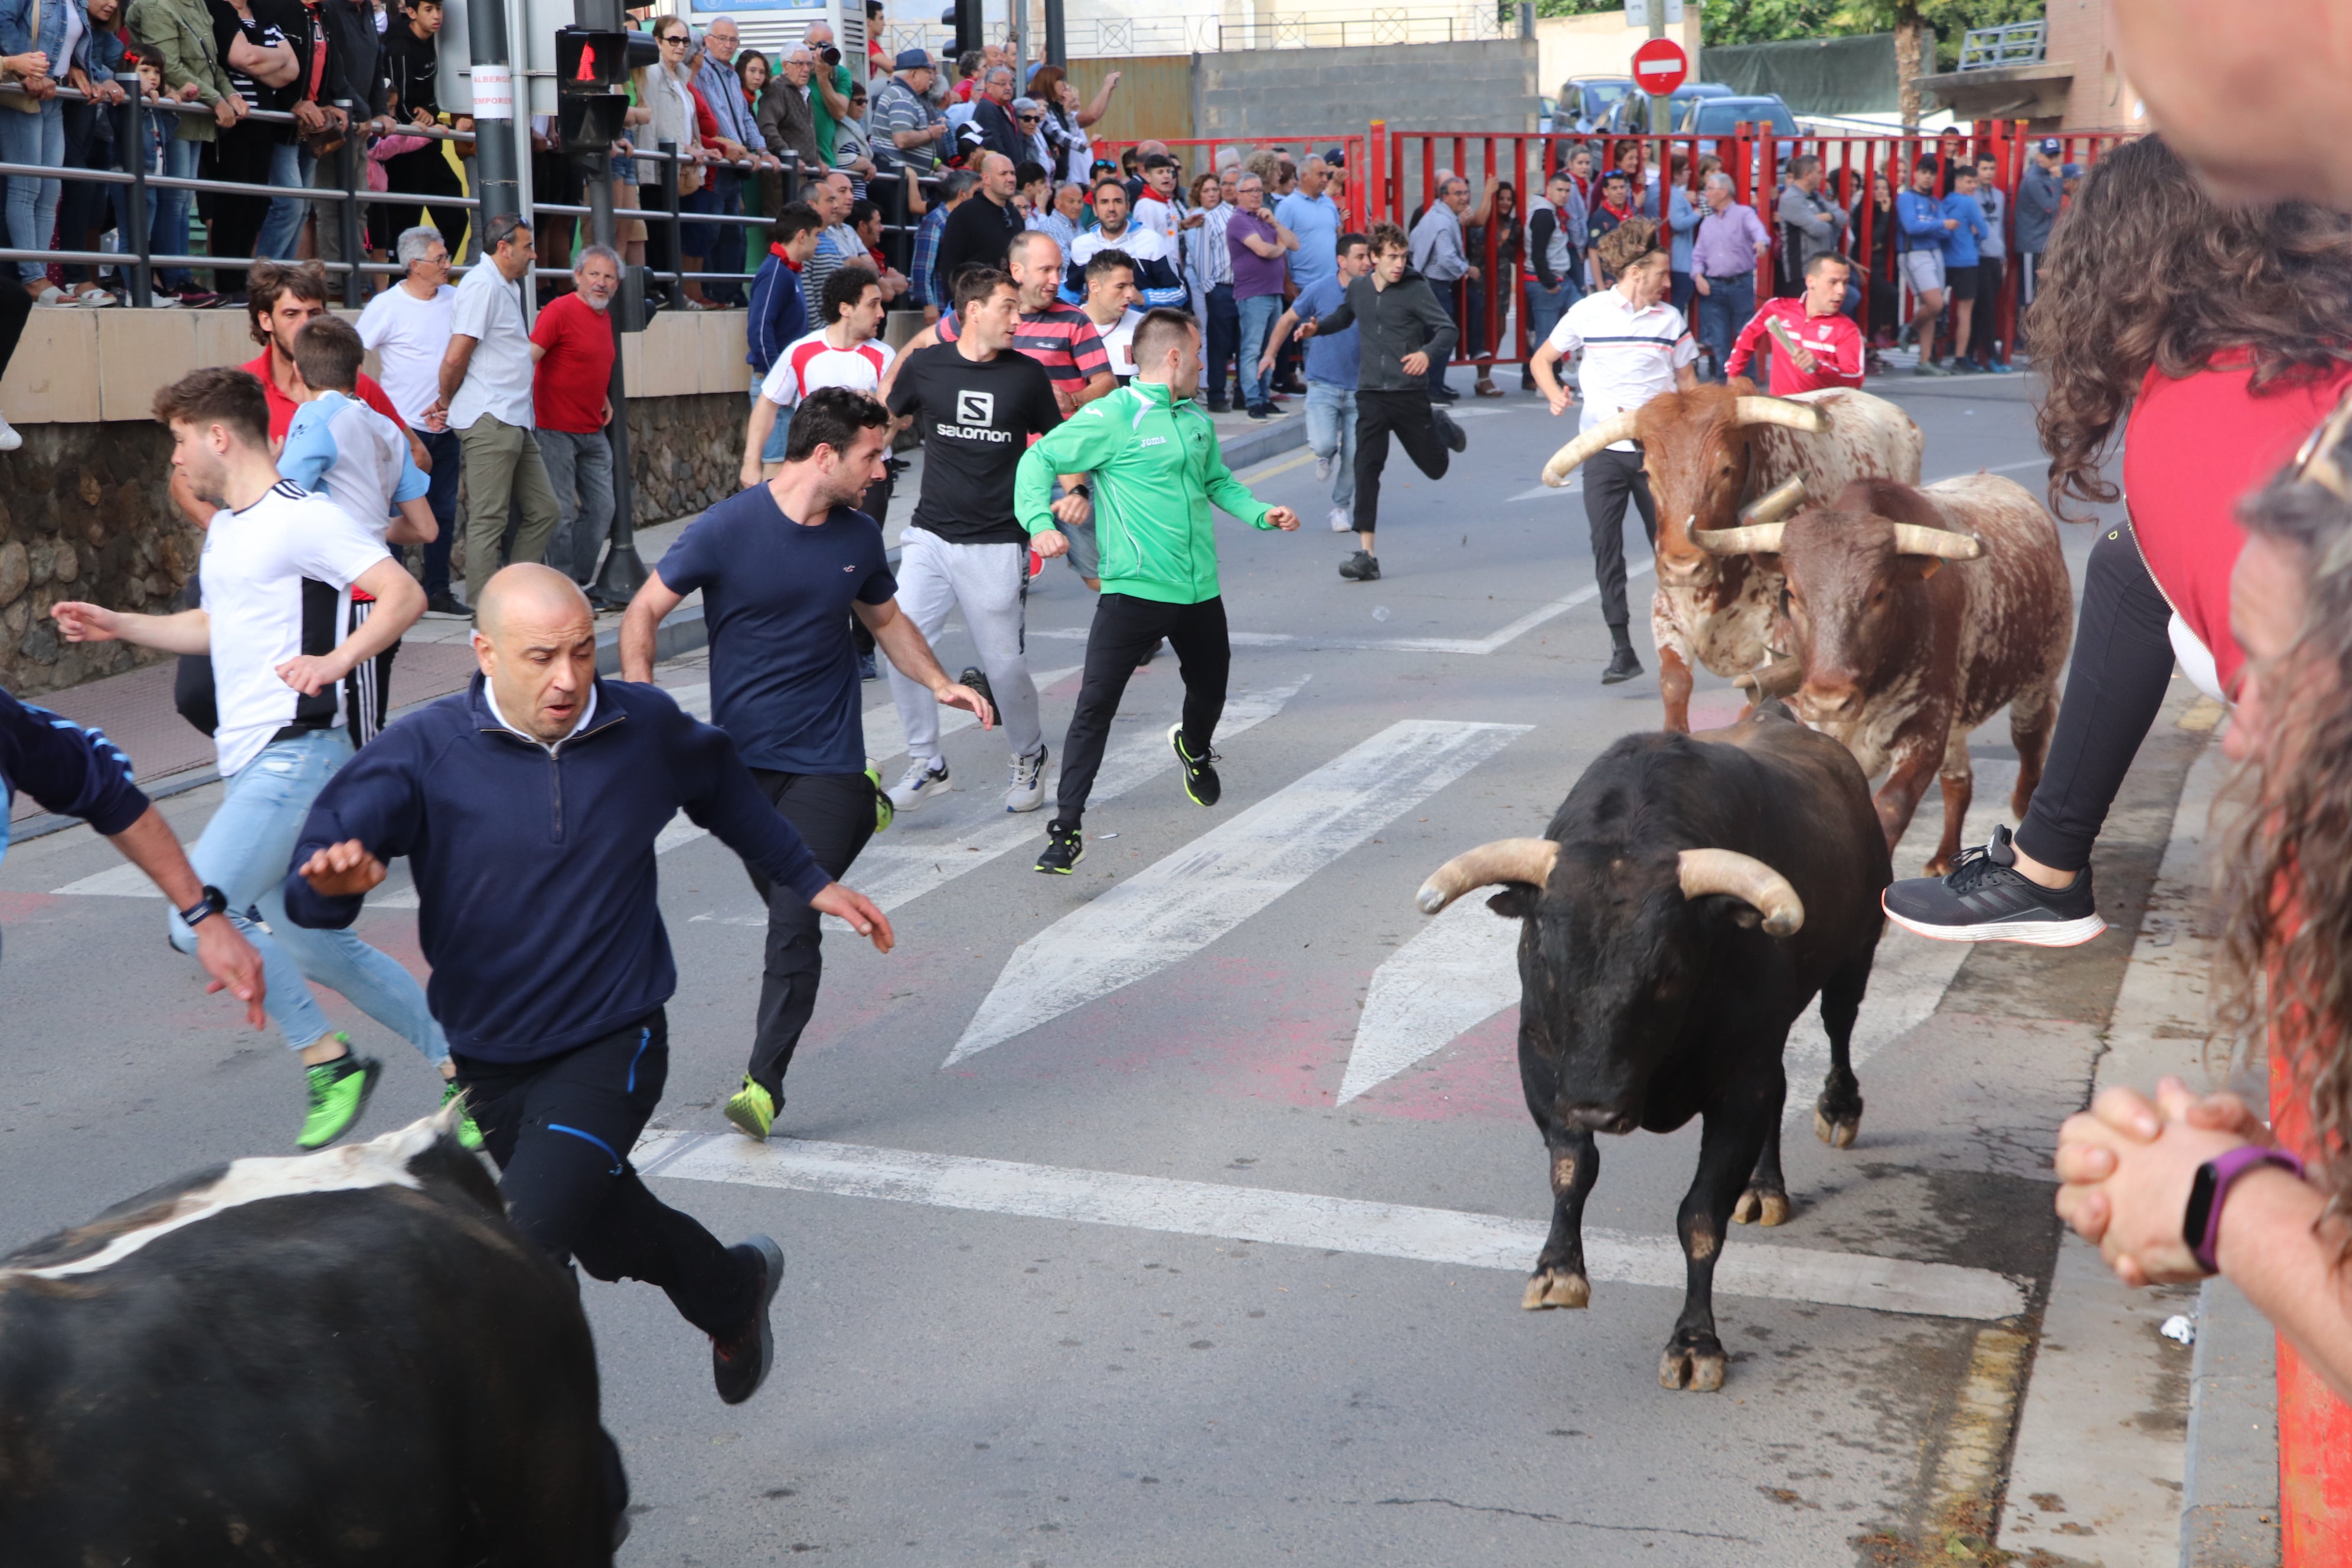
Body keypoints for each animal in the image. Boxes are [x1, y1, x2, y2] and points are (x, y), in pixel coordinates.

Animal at [1411, 705, 1891, 1391]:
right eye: (1547, 955)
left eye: (1668, 972)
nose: (1598, 1109)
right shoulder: (1543, 1064)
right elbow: (1572, 1167)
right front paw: (1558, 1271)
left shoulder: (1737, 1085)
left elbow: (1700, 1217)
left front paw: (1695, 1342)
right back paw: (1765, 1188)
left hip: (1854, 955)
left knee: (1838, 1027)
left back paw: (1833, 1117)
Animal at [1543, 383, 1910, 733]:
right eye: (1647, 473)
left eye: (1726, 469)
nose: (1684, 567)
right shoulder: (1666, 612)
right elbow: (1675, 683)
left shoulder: (1778, 638)